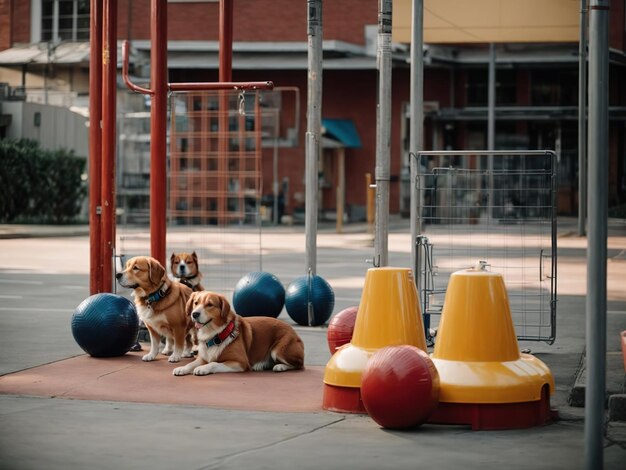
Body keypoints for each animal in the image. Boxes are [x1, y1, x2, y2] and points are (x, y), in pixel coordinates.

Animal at [172, 292, 304, 376]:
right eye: (195, 303)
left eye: (209, 304)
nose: (194, 314)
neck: (216, 335)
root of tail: (294, 332)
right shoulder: (202, 358)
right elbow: (191, 364)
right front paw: (182, 368)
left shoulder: (240, 363)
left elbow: (214, 363)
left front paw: (203, 368)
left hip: (278, 350)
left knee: (299, 364)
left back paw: (280, 366)